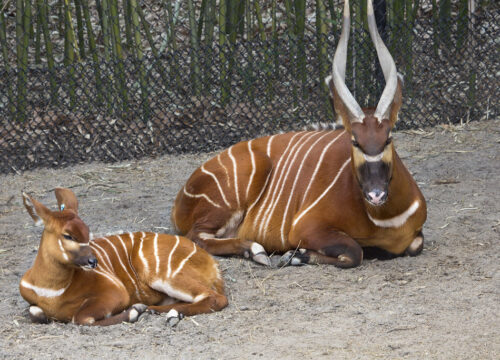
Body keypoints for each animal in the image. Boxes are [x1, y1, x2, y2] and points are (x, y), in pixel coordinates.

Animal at [19, 188, 227, 326]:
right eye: (68, 235)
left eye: (87, 232)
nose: (93, 261)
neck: (52, 291)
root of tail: (212, 263)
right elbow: (35, 312)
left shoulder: (116, 293)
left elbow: (81, 318)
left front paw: (134, 311)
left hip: (166, 277)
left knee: (216, 298)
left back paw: (158, 311)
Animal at [171, 0, 426, 268]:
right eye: (355, 141)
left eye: (388, 138)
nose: (375, 194)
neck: (384, 219)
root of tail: (180, 199)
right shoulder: (305, 227)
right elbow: (354, 252)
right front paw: (295, 255)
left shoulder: (415, 237)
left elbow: (414, 246)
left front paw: (298, 255)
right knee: (196, 237)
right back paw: (256, 250)